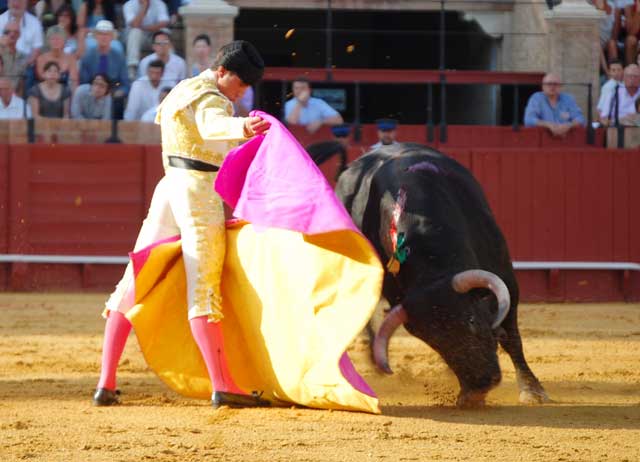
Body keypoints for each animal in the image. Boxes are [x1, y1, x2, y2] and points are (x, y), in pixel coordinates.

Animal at [336, 144, 552, 408]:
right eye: (433, 342)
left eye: (472, 320)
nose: (478, 387)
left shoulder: (506, 276)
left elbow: (512, 336)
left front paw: (533, 390)